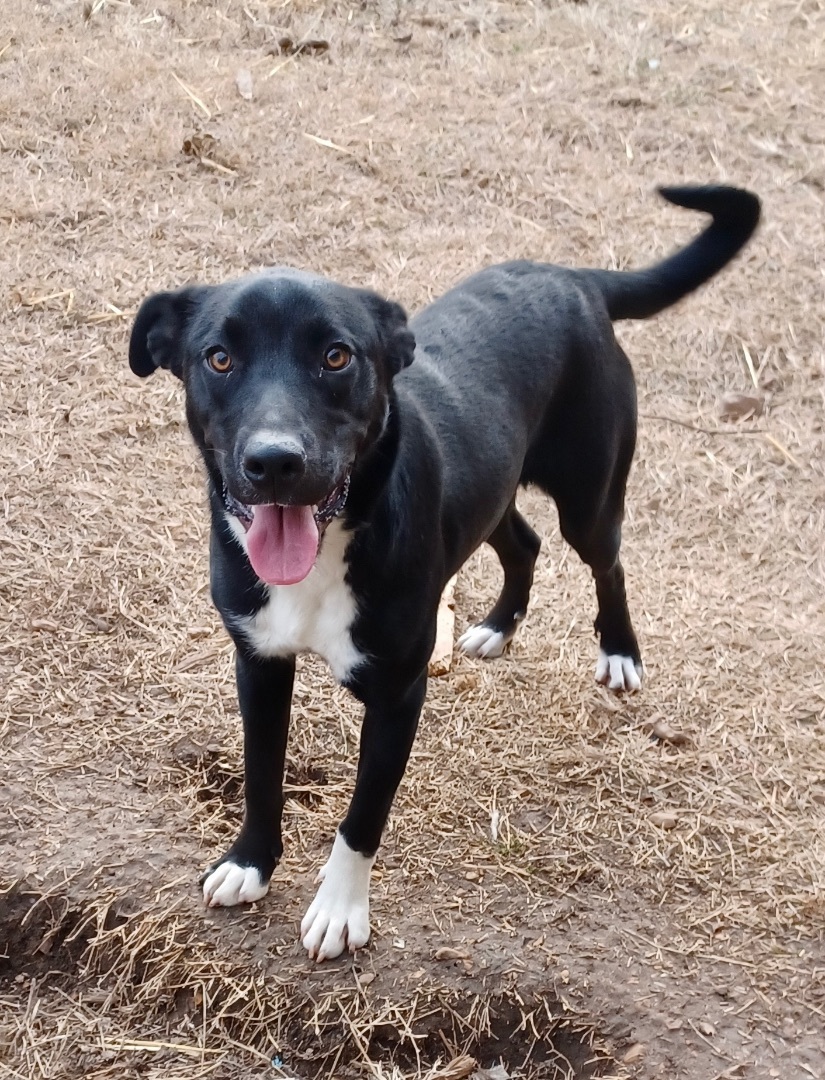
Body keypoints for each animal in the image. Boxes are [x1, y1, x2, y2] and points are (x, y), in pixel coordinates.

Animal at [130, 185, 760, 963]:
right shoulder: (259, 662)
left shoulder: (398, 695)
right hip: (493, 488)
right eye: (217, 358)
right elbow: (260, 773)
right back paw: (496, 627)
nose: (274, 462)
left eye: (337, 356)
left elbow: (362, 816)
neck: (332, 546)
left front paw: (339, 911)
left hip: (589, 496)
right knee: (523, 543)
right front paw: (250, 862)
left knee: (605, 563)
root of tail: (571, 277)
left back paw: (618, 652)